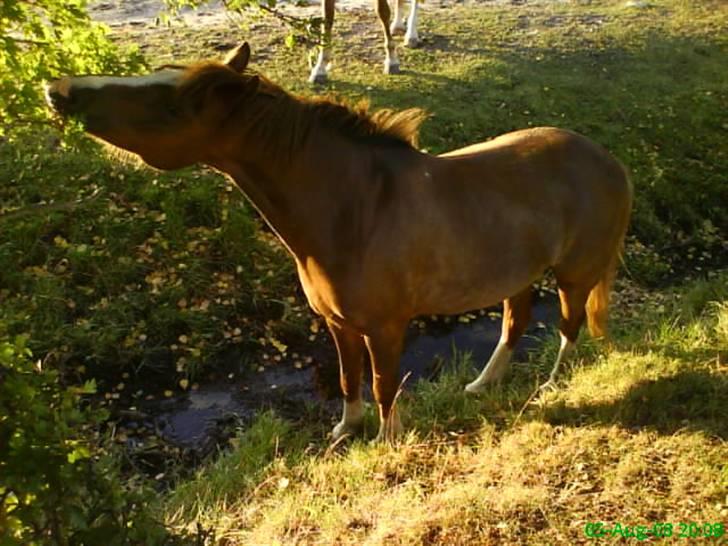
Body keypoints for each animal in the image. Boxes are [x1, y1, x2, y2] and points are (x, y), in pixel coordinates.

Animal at [44, 42, 632, 442]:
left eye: (169, 101)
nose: (59, 90)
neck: (356, 211)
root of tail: (611, 161)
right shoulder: (338, 324)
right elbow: (350, 382)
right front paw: (343, 435)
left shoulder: (387, 329)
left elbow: (384, 388)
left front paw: (390, 444)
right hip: (518, 275)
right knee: (515, 324)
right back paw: (482, 387)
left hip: (573, 275)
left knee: (569, 329)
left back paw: (548, 390)